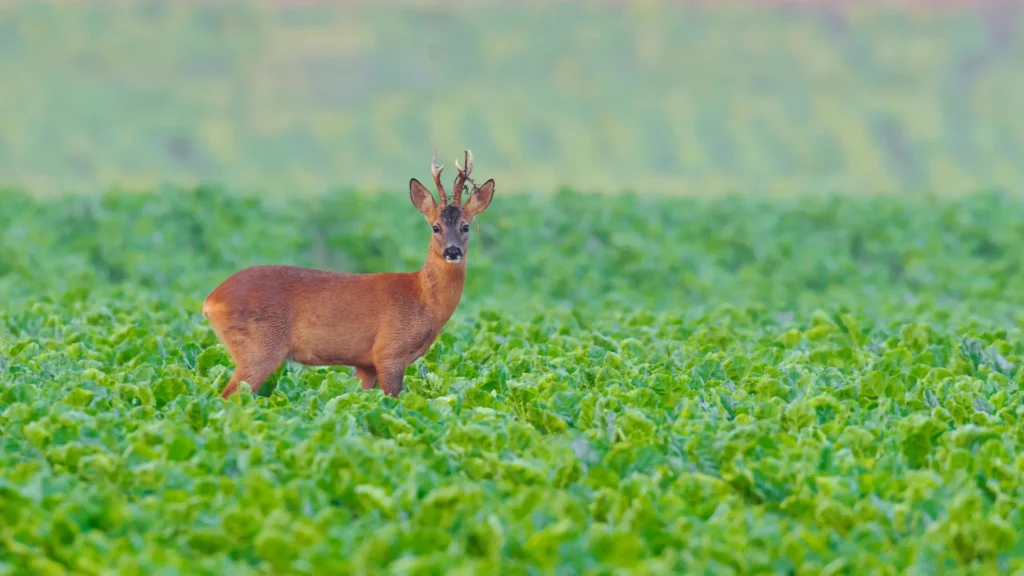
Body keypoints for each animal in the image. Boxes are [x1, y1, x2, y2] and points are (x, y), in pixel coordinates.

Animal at [202, 149, 495, 399]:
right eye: (435, 227)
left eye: (466, 226)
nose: (452, 251)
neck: (422, 298)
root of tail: (211, 300)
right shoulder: (389, 352)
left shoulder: (365, 363)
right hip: (258, 349)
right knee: (229, 395)